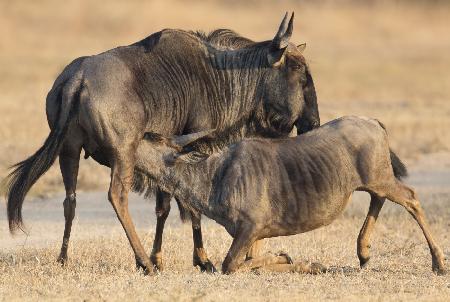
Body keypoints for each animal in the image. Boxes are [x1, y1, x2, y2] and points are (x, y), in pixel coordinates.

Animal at [135, 115, 444, 274]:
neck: (215, 175)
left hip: (381, 179)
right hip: (375, 181)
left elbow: (230, 264)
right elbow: (253, 265)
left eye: (148, 138)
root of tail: (373, 122)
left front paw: (291, 258)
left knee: (411, 198)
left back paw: (438, 262)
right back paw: (364, 252)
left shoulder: (249, 229)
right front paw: (303, 263)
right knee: (378, 199)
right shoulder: (254, 236)